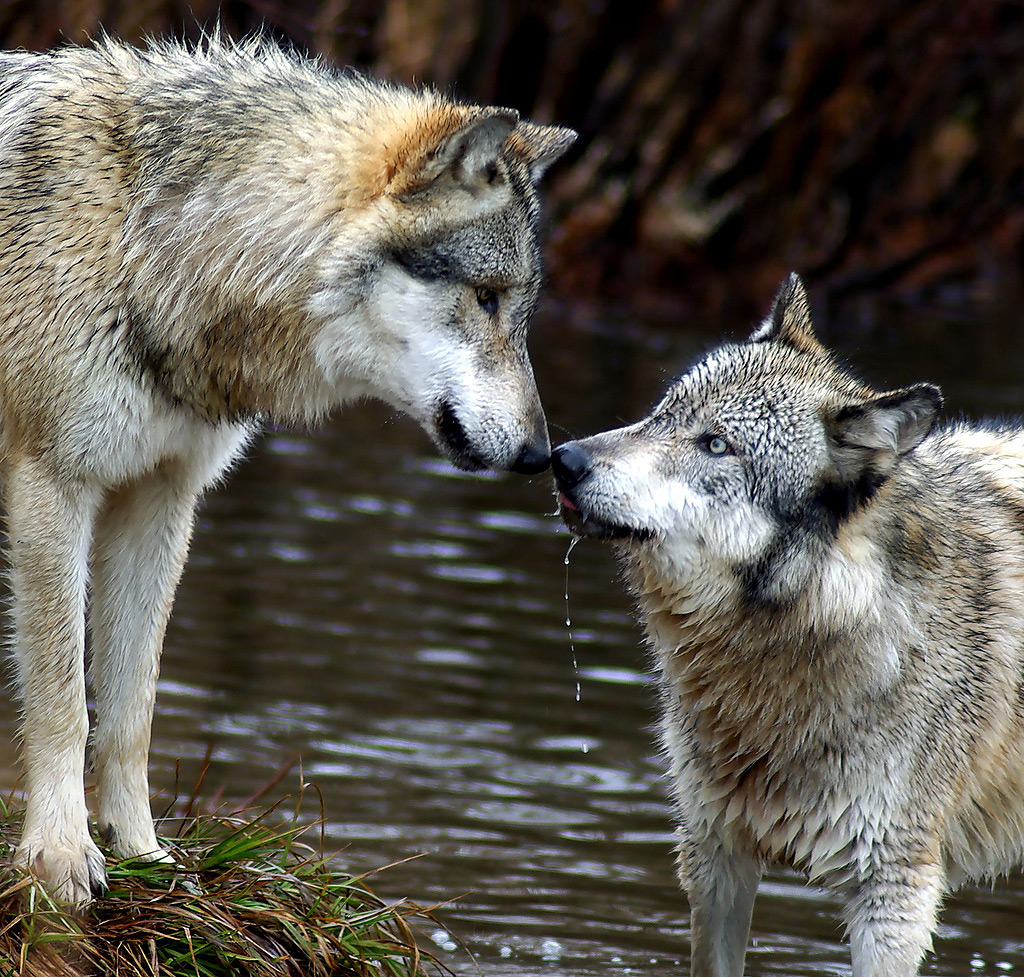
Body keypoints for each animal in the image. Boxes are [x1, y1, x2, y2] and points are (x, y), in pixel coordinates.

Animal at [0, 38, 577, 905]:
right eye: (484, 297)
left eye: (522, 310)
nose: (542, 455)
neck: (149, 239)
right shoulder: (53, 486)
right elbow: (66, 698)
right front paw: (60, 857)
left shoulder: (161, 498)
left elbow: (133, 707)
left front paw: (144, 854)